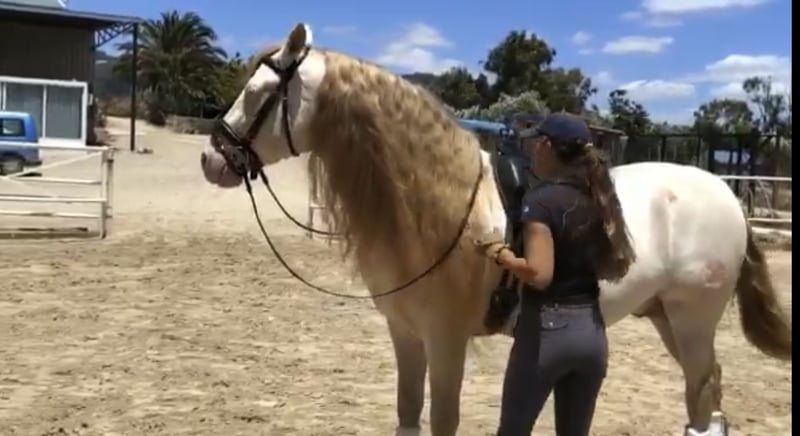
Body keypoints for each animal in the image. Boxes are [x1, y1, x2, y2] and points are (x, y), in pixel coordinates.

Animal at [199, 23, 792, 436]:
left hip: (693, 319)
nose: (211, 159)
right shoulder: (406, 335)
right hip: (667, 316)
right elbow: (408, 414)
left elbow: (443, 420)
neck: (434, 204)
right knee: (707, 394)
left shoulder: (446, 340)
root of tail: (726, 194)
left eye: (260, 93)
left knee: (704, 393)